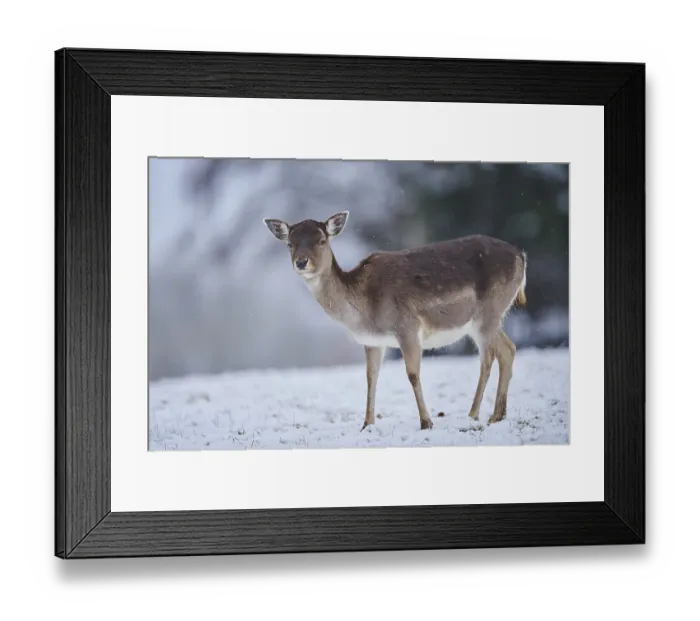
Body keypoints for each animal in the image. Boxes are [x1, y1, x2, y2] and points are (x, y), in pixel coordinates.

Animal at [263, 211, 527, 432]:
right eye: (290, 243)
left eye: (321, 240)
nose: (301, 262)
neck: (364, 310)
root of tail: (521, 255)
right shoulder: (373, 341)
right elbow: (371, 377)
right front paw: (366, 424)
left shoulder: (407, 327)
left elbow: (412, 374)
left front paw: (426, 422)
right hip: (486, 319)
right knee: (509, 349)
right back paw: (497, 416)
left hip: (488, 313)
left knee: (488, 358)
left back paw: (473, 414)